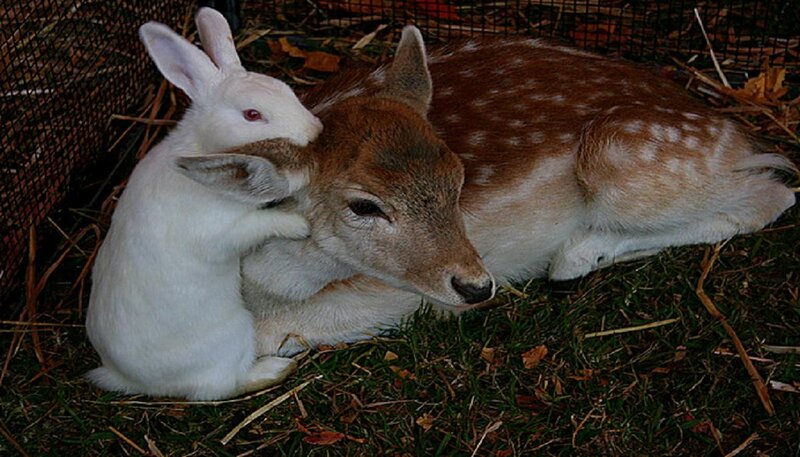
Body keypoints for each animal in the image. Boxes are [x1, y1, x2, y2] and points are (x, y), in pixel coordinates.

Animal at [85, 7, 322, 400]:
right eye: (252, 114)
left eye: (285, 89)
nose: (314, 130)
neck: (199, 147)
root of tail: (127, 378)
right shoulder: (222, 230)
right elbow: (261, 224)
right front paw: (299, 224)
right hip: (236, 334)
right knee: (222, 386)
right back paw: (274, 369)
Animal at [233, 27, 796, 357]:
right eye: (363, 205)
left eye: (460, 179)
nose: (478, 287)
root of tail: (738, 129)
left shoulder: (390, 294)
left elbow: (270, 334)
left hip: (624, 155)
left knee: (773, 194)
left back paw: (575, 256)